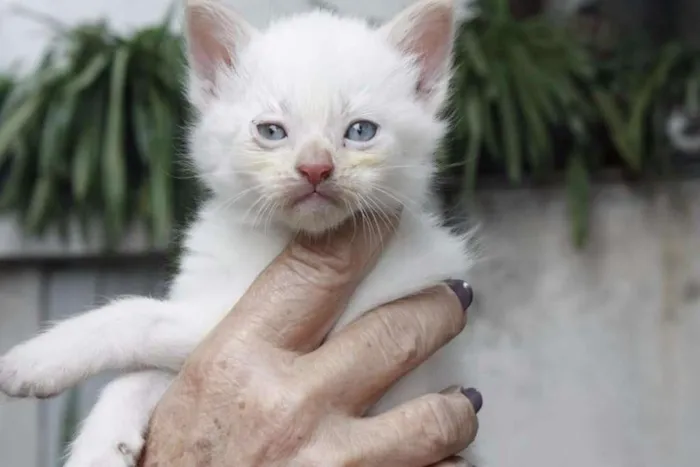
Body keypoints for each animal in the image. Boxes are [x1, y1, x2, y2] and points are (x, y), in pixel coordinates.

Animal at [0, 1, 476, 466]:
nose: (316, 168)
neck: (280, 238)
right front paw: (102, 442)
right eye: (271, 131)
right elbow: (151, 372)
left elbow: (139, 318)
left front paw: (36, 360)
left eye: (361, 131)